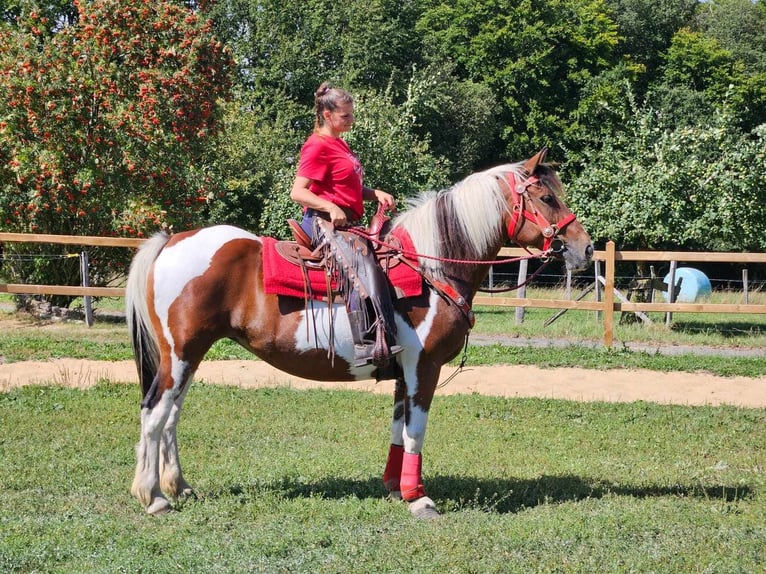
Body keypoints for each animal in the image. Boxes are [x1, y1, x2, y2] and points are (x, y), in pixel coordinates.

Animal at [126, 146, 596, 520]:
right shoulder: (423, 367)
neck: (431, 267)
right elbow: (416, 430)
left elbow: (397, 426)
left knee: (172, 415)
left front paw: (394, 486)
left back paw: (180, 486)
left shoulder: (403, 370)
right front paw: (419, 499)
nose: (585, 248)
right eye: (547, 197)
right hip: (181, 353)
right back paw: (153, 497)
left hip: (189, 355)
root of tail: (171, 242)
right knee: (155, 412)